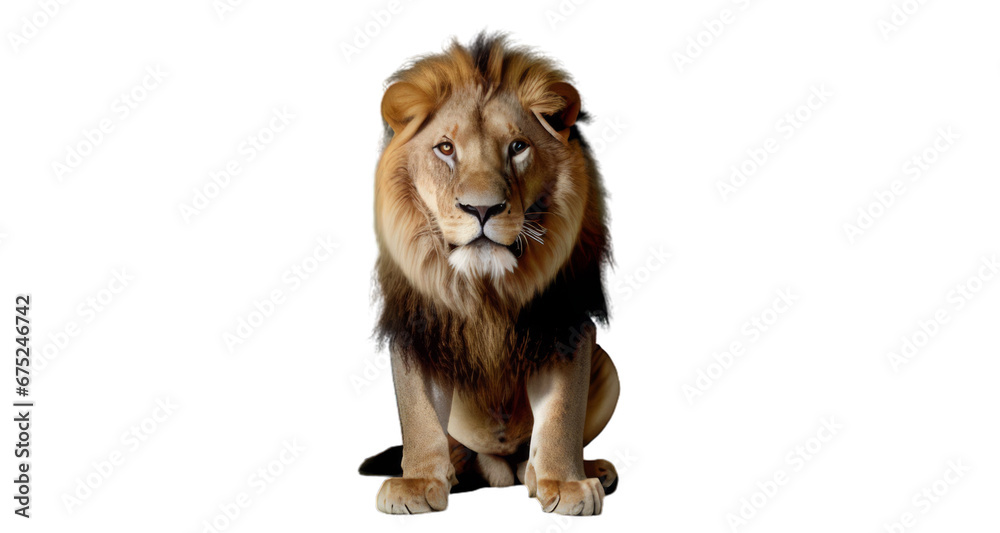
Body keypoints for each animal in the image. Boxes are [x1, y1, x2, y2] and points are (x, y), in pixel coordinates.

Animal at [359, 33, 620, 516]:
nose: (481, 209)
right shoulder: (417, 327)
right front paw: (417, 481)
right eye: (445, 148)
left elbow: (561, 413)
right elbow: (418, 413)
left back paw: (582, 469)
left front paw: (565, 482)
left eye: (517, 147)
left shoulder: (565, 324)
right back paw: (457, 469)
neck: (485, 287)